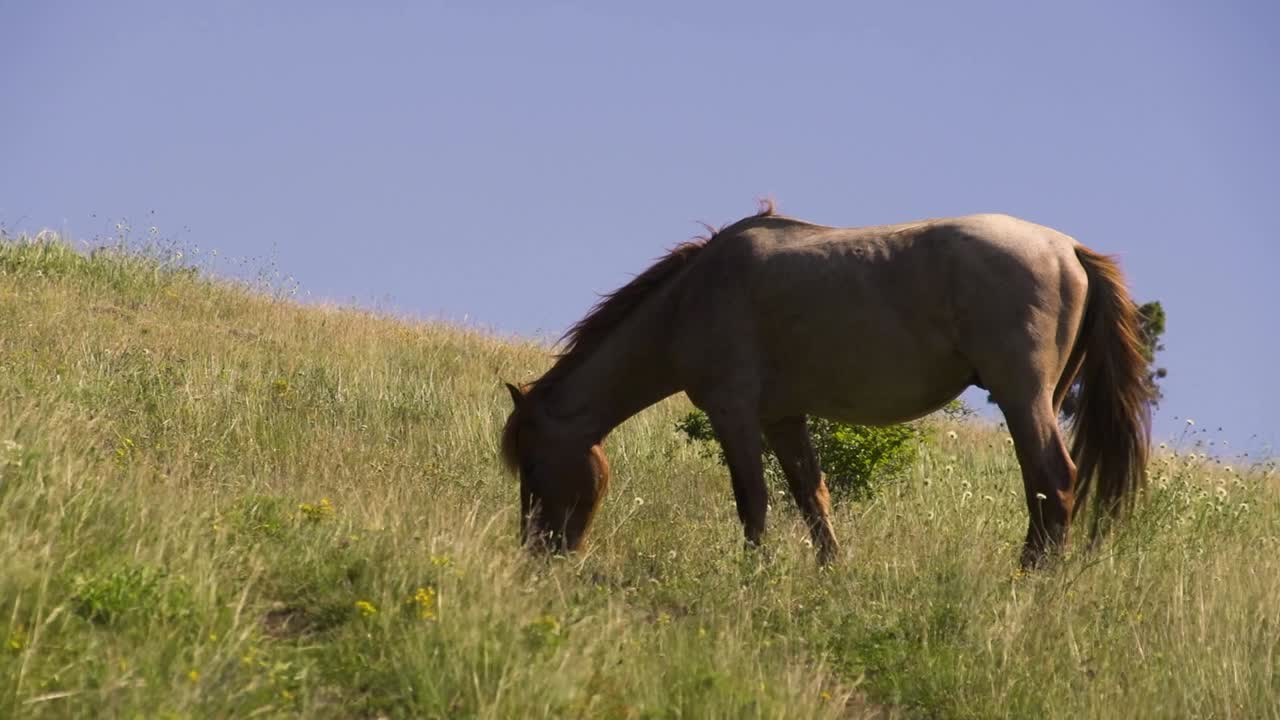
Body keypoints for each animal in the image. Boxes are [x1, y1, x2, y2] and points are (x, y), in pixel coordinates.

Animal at [502, 202, 1150, 568]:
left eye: (532, 464)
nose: (537, 551)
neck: (692, 298)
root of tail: (1067, 248)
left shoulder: (734, 414)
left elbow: (753, 502)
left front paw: (754, 576)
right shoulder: (782, 419)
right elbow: (813, 498)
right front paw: (831, 574)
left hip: (1023, 398)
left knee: (1053, 482)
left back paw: (1031, 580)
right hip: (1043, 397)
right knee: (1045, 492)